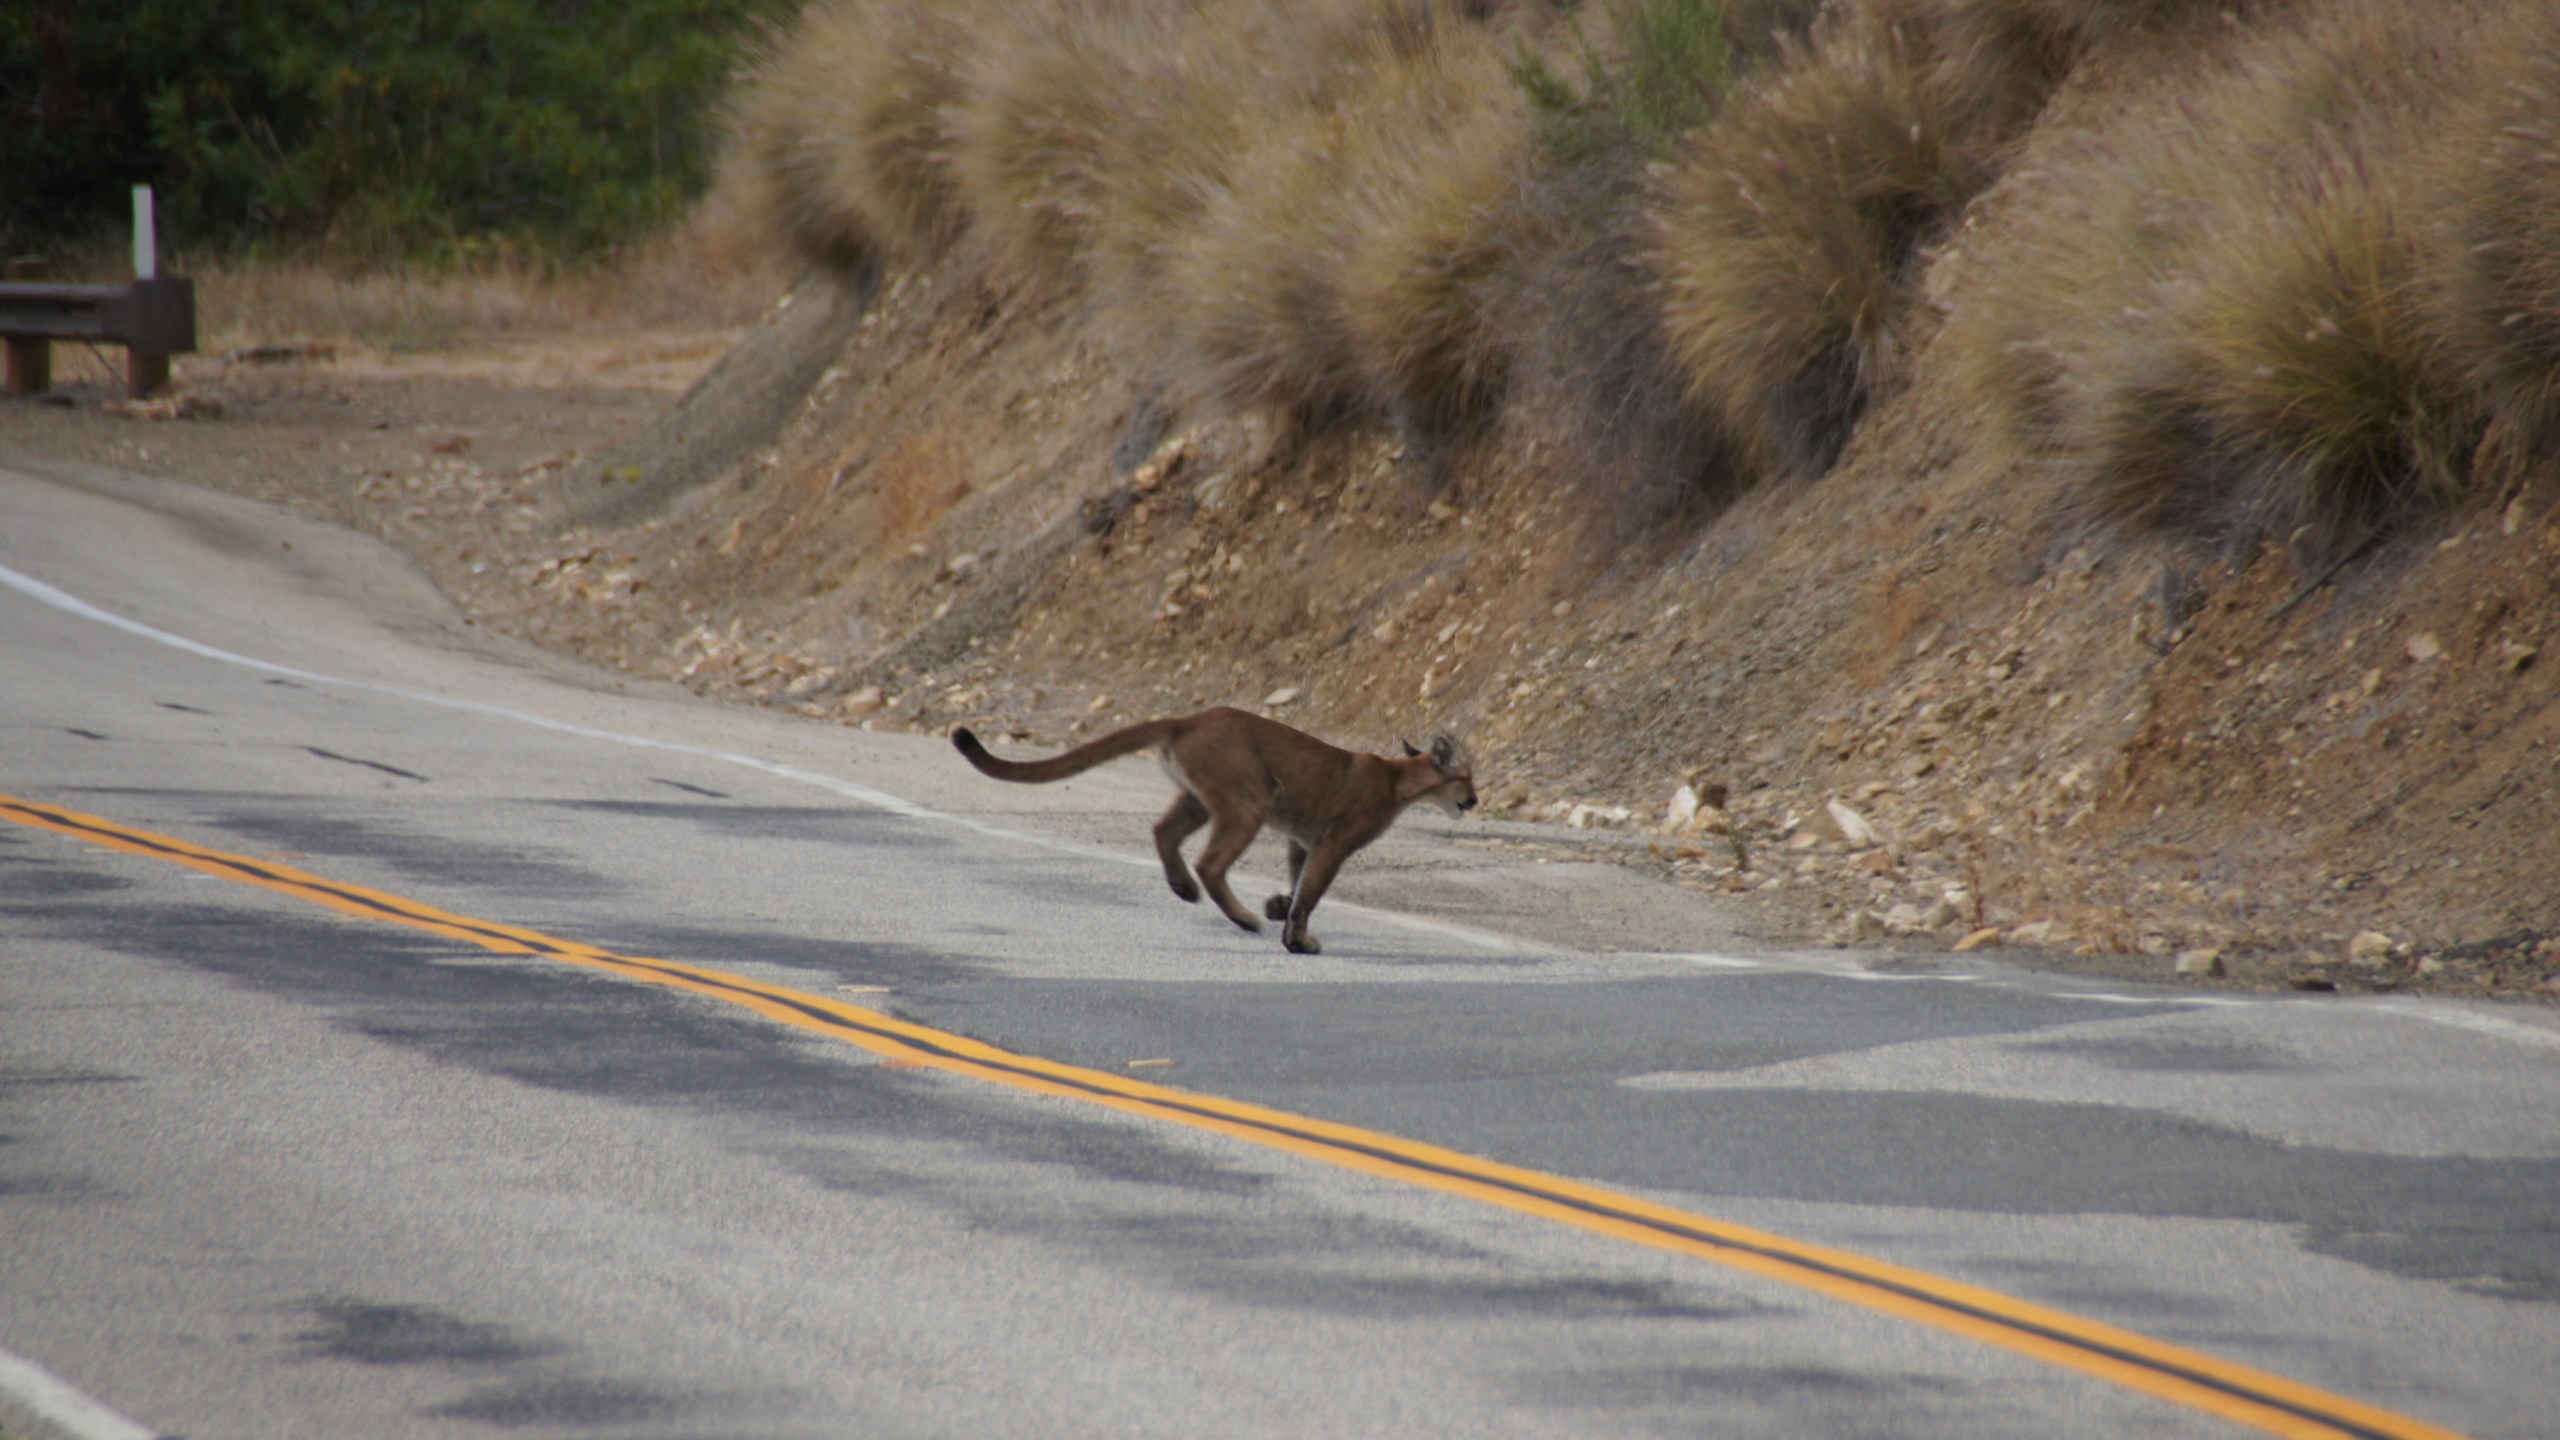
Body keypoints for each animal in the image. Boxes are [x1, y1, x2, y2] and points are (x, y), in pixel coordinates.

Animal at [947, 707, 1474, 953]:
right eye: (1467, 778)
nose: (1475, 801)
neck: (1399, 780)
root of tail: (1191, 717)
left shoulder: (1303, 838)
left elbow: (1298, 880)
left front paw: (1279, 906)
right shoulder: (1335, 842)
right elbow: (1310, 893)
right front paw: (1297, 939)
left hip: (1200, 799)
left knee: (1163, 830)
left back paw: (1183, 887)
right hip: (1249, 802)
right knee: (1210, 862)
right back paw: (1241, 917)